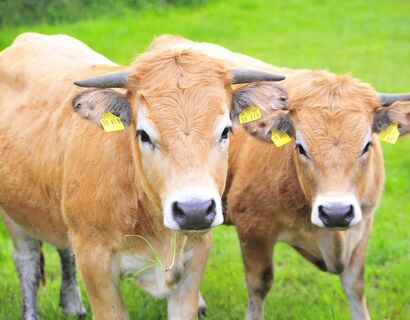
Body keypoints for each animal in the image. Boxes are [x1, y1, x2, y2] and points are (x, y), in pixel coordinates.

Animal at [0, 33, 288, 320]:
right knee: (27, 265)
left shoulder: (195, 259)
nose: (194, 210)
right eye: (144, 134)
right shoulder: (96, 266)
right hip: (15, 217)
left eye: (225, 131)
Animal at [149, 35, 410, 320]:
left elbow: (355, 286)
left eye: (366, 146)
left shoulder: (364, 223)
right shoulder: (254, 228)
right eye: (300, 147)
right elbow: (259, 285)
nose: (336, 212)